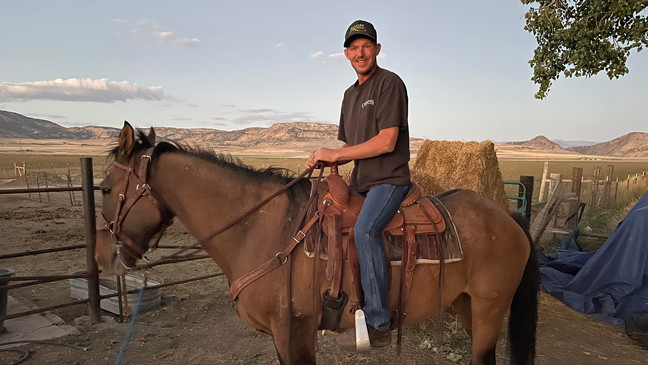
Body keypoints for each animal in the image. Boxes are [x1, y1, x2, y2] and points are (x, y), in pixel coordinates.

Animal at [96, 123, 540, 364]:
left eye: (105, 188)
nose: (102, 257)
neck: (262, 228)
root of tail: (508, 217)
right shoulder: (286, 337)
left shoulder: (294, 332)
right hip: (467, 306)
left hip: (488, 310)